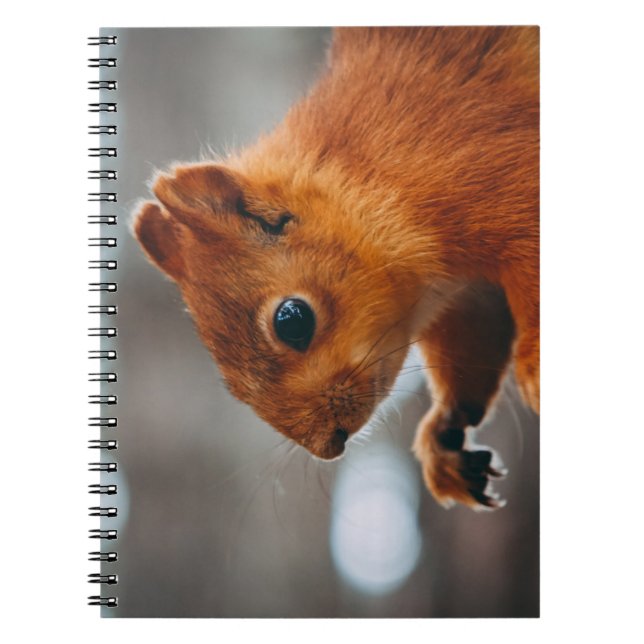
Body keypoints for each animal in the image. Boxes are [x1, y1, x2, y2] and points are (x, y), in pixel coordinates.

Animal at [134, 27, 539, 510]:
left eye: (292, 320)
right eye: (230, 386)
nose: (330, 444)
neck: (369, 176)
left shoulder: (495, 165)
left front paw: (535, 365)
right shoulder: (466, 294)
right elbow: (473, 343)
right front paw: (444, 437)